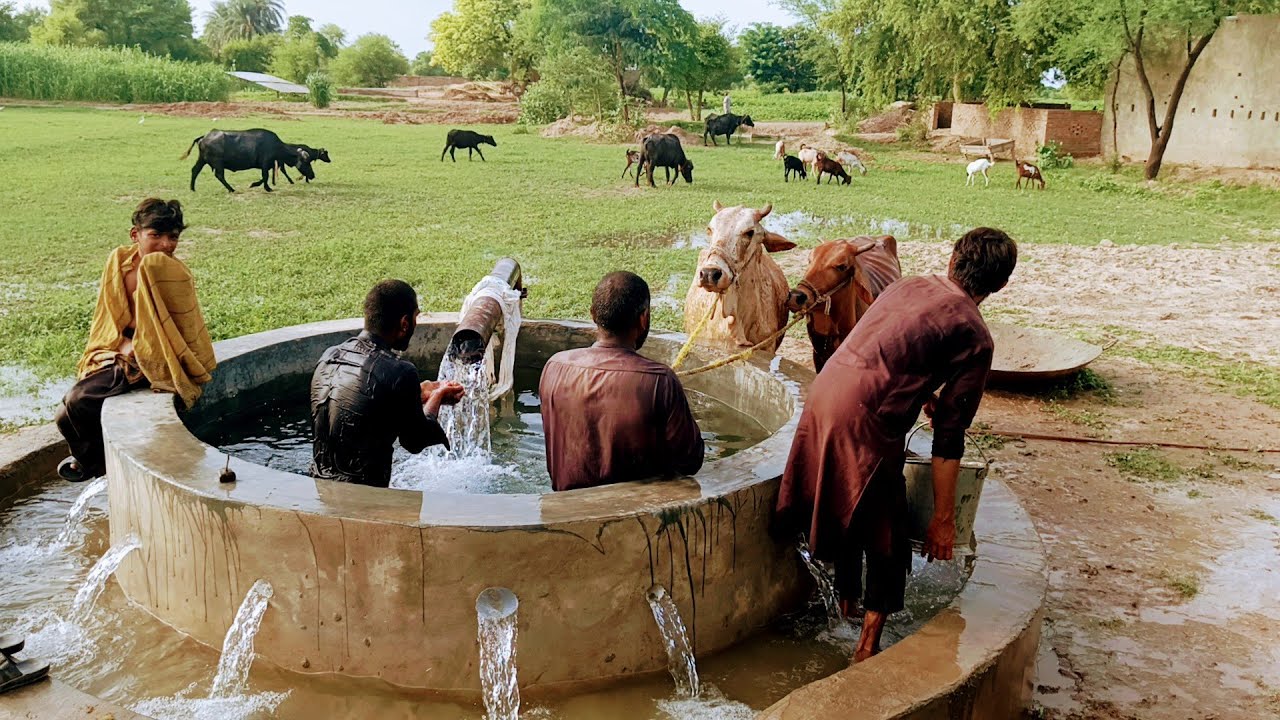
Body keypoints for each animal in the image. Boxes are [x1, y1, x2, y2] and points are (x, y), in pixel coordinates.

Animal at [181, 128, 314, 193]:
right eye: (306, 162)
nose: (312, 175)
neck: (275, 146)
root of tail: (204, 137)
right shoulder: (265, 164)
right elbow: (265, 177)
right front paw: (265, 187)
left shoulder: (268, 165)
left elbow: (264, 177)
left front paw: (259, 185)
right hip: (218, 163)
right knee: (219, 175)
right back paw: (231, 189)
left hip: (202, 160)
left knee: (195, 171)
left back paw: (192, 188)